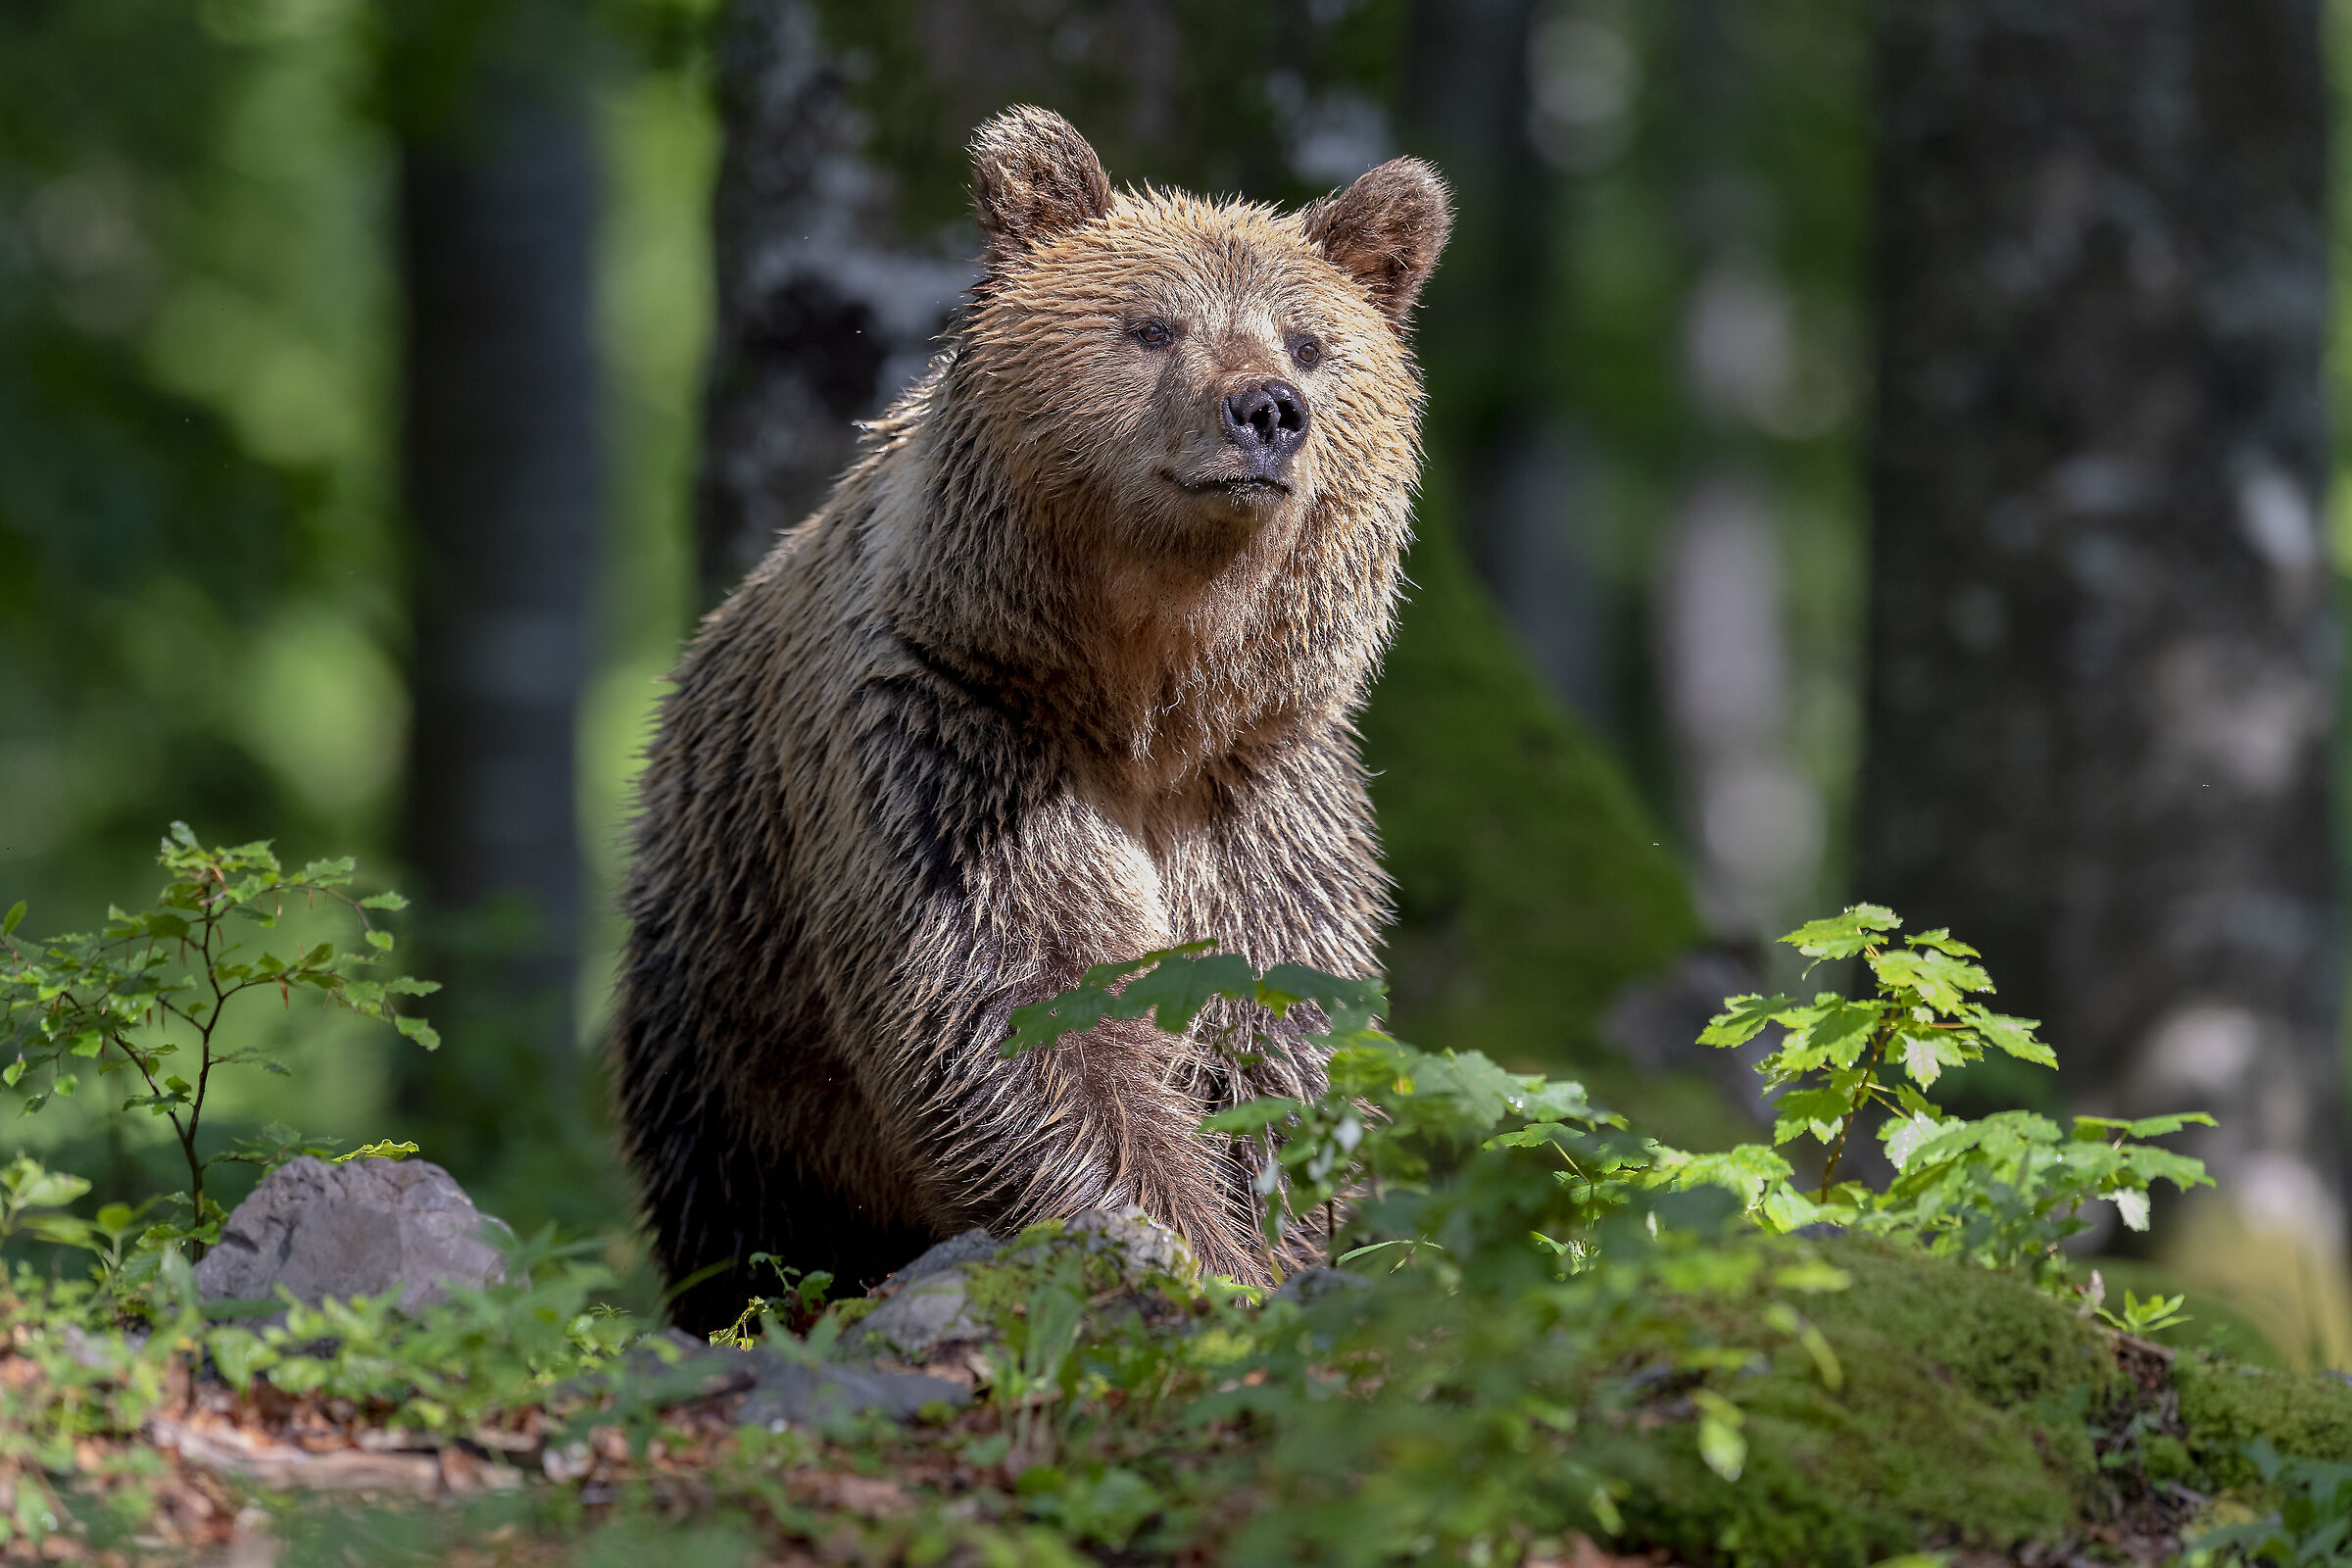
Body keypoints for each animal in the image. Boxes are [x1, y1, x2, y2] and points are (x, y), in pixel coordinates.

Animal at [614, 106, 1451, 1332]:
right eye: (1152, 325)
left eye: (1307, 342)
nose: (1266, 411)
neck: (1143, 700)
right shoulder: (956, 751)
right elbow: (1032, 1020)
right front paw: (1192, 1258)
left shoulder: (1259, 802)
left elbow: (1270, 1045)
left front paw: (1282, 1253)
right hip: (735, 985)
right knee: (746, 1190)